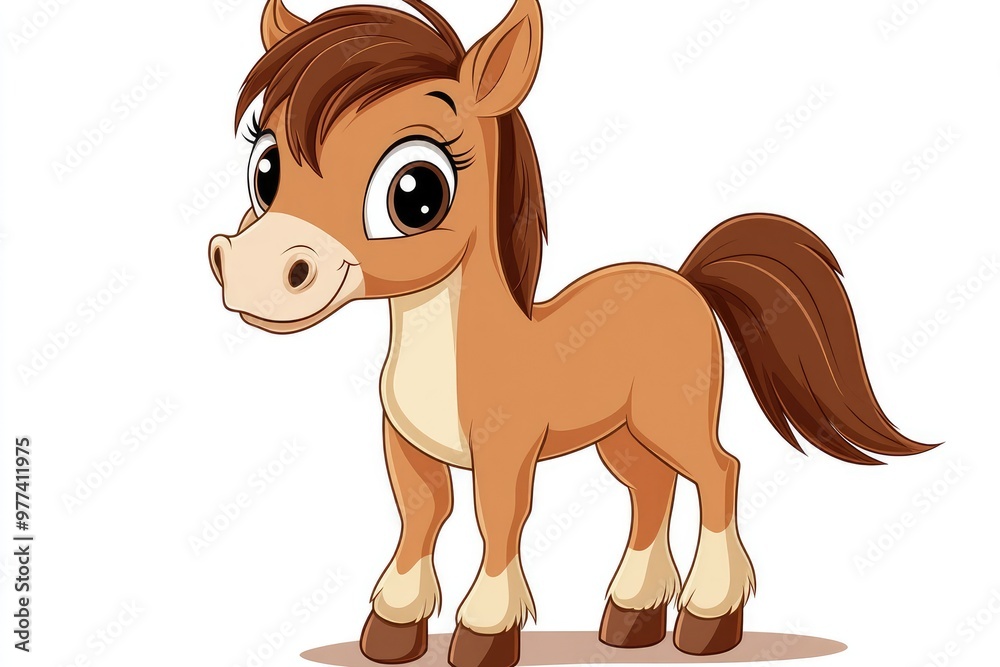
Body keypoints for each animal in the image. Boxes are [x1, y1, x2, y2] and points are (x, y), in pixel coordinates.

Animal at [208, 1, 934, 665]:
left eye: (416, 192)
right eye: (265, 170)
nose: (254, 272)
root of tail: (687, 281)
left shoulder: (506, 450)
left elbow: (496, 519)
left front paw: (485, 632)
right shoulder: (407, 445)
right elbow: (421, 515)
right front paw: (394, 628)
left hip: (673, 415)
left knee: (717, 473)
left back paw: (707, 619)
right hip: (622, 435)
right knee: (652, 490)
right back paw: (632, 617)